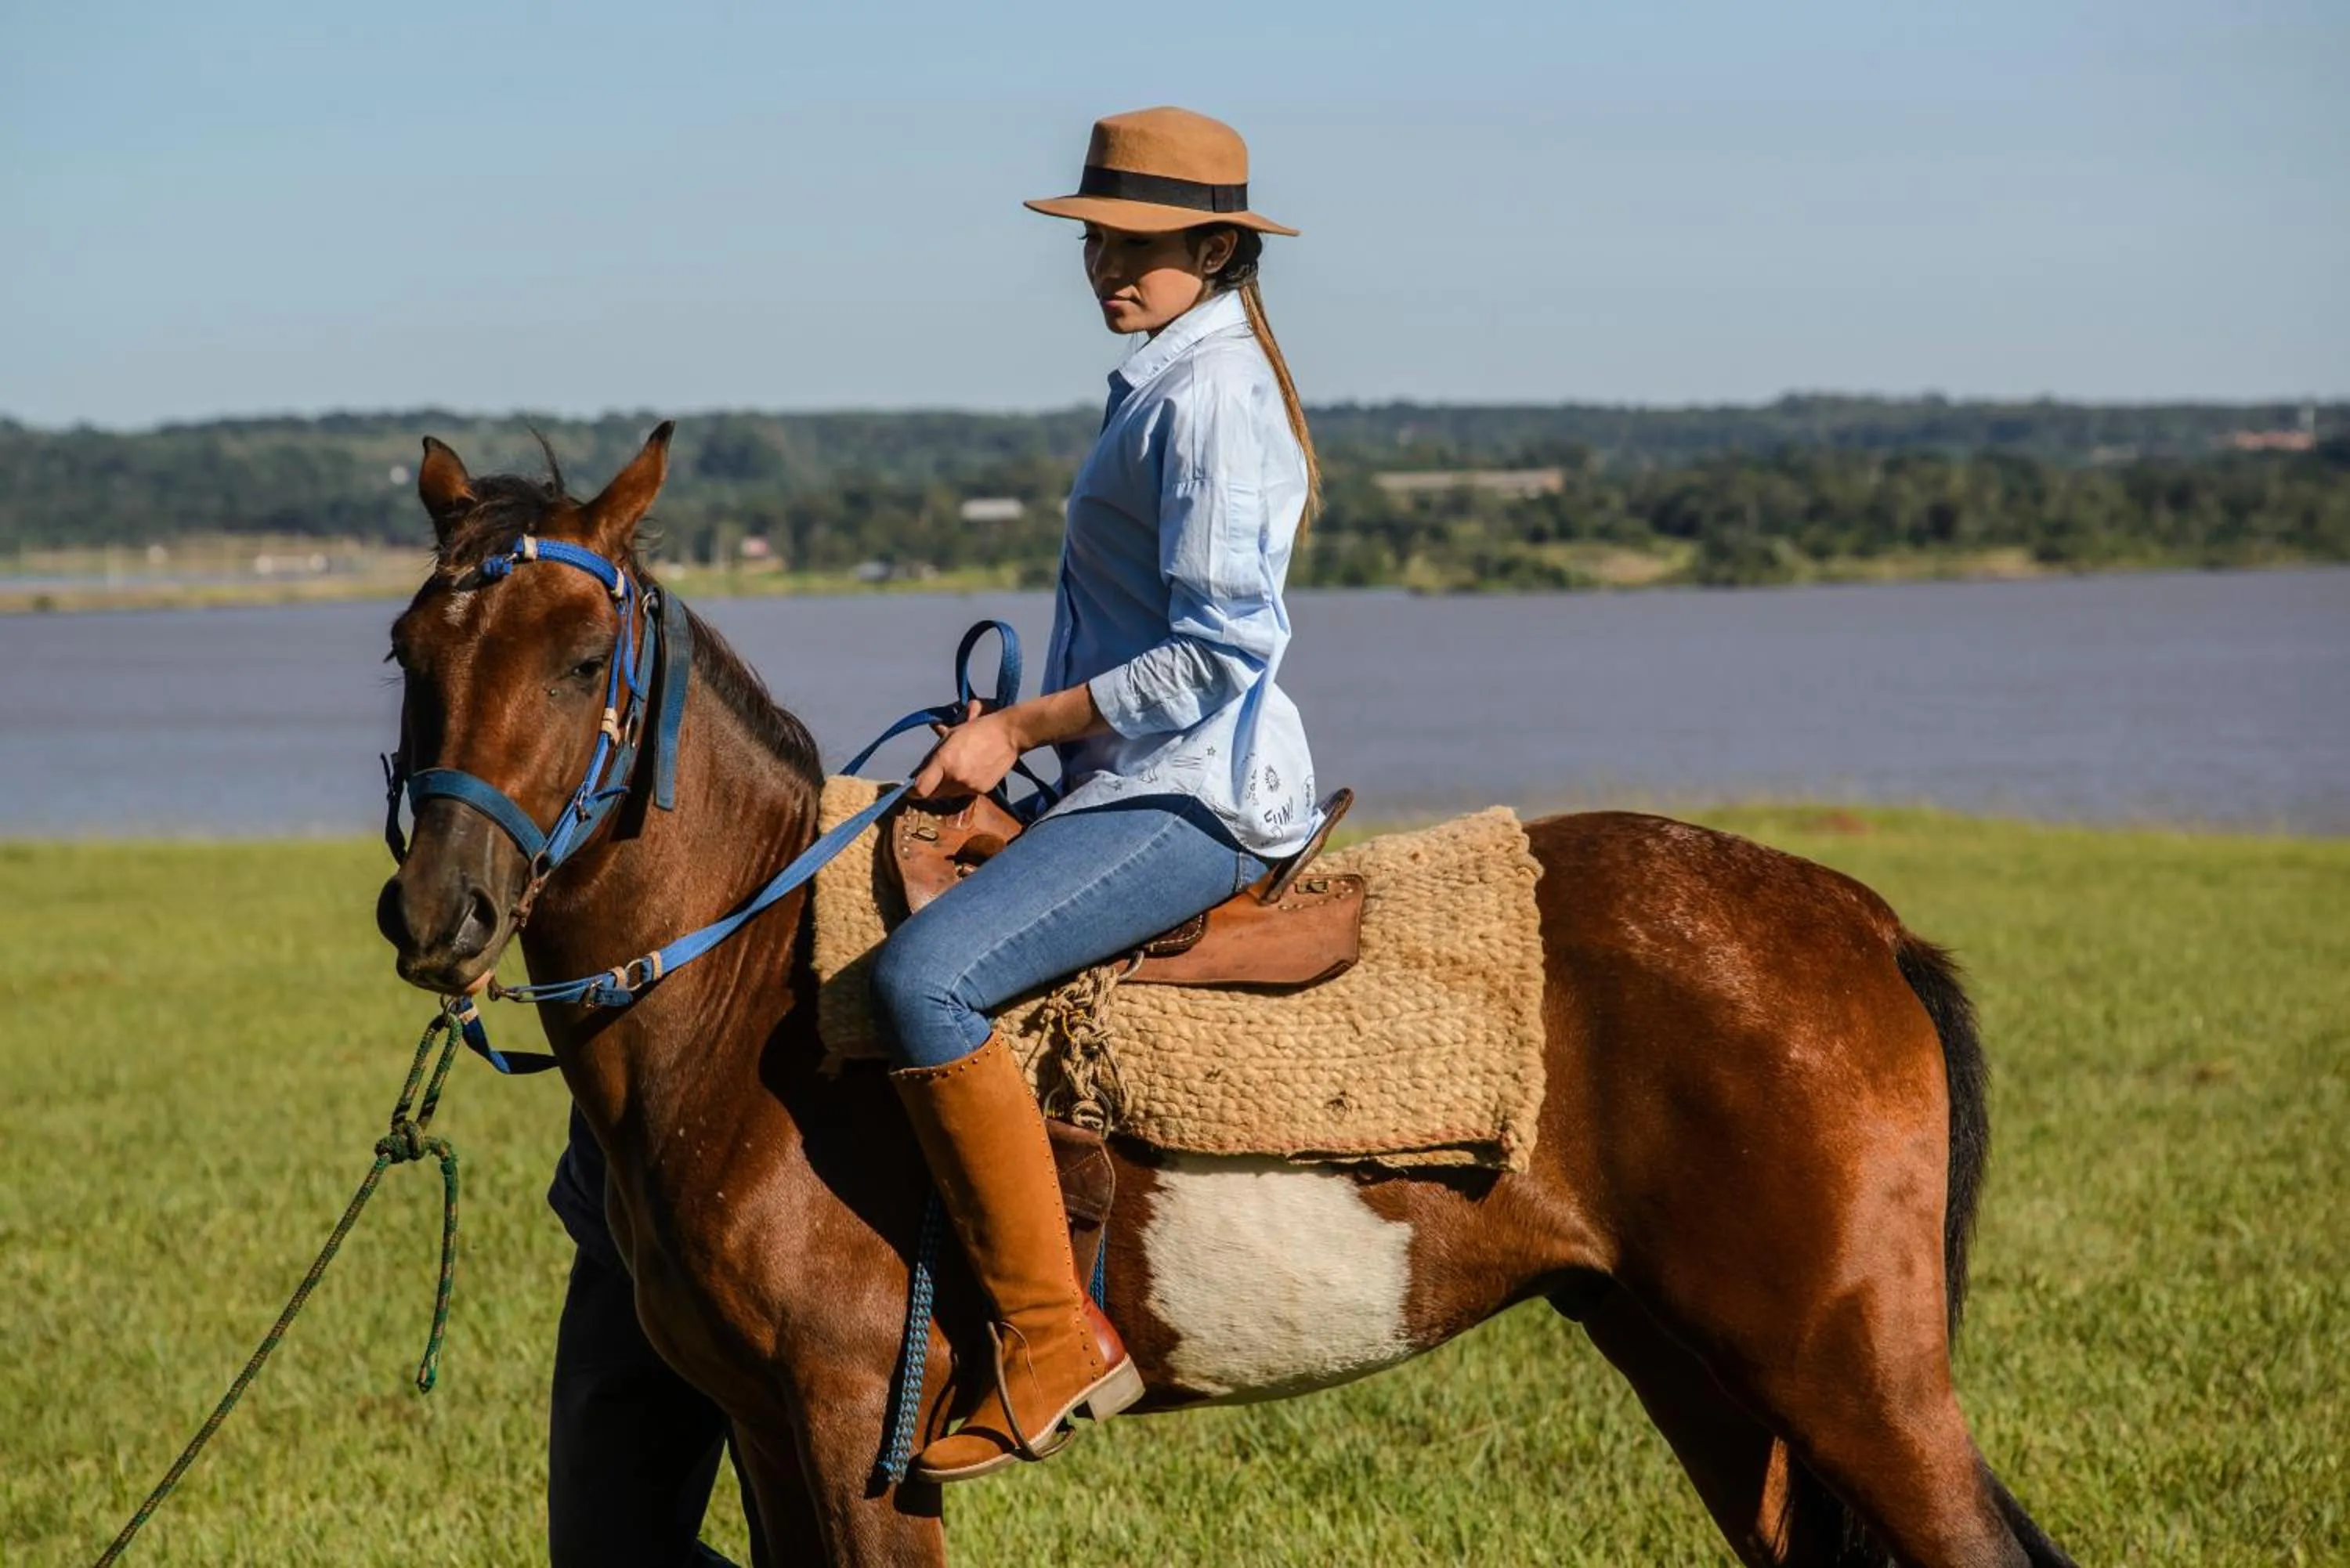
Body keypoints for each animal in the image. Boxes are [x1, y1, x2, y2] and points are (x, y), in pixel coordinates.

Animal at [375, 423, 2077, 1567]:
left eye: (582, 655)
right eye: (407, 647)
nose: (439, 909)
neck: (748, 1004)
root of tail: (1860, 921)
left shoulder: (855, 1426)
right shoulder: (764, 1428)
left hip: (1852, 1375)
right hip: (1704, 1366)